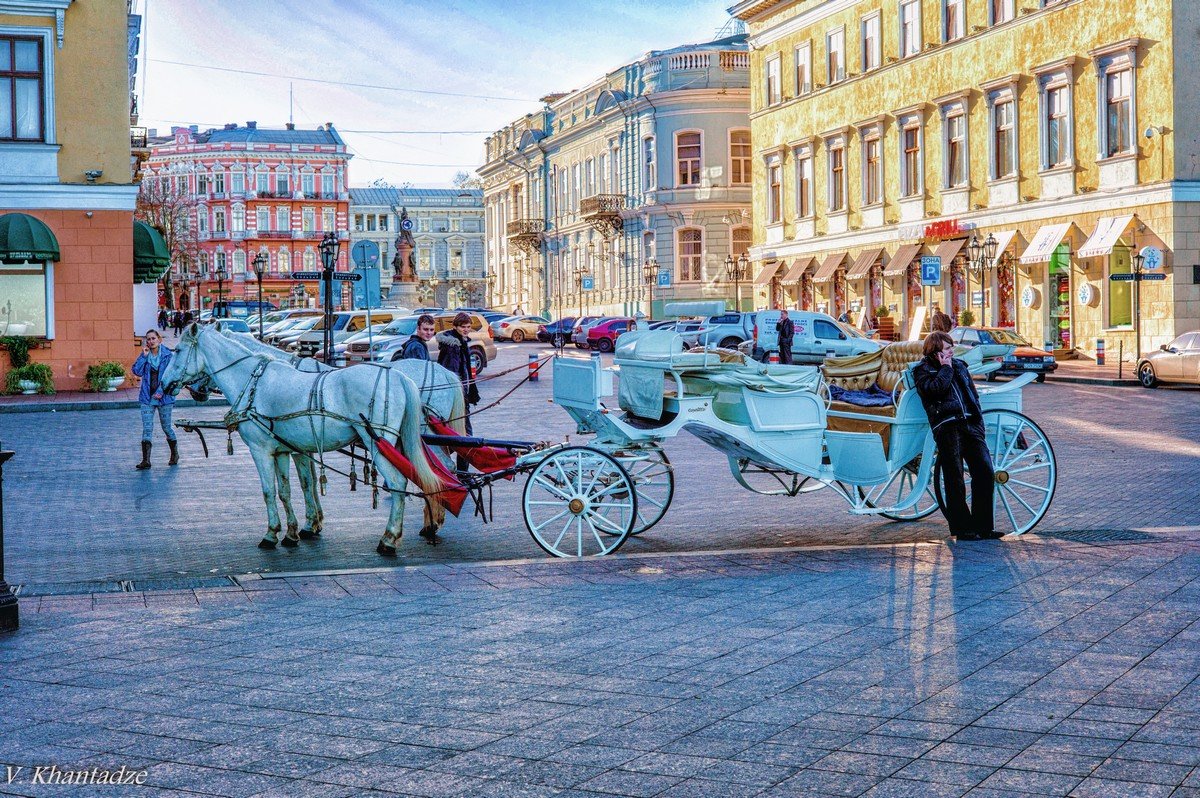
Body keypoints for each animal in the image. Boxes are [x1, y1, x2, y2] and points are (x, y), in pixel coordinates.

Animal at [164, 324, 451, 554]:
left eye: (177, 350)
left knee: (401, 481)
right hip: (400, 441)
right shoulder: (284, 449)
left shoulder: (261, 449)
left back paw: (390, 538)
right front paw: (294, 531)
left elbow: (270, 491)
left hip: (379, 442)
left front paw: (272, 533)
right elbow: (290, 490)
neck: (253, 383)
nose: (167, 385)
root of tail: (401, 378)